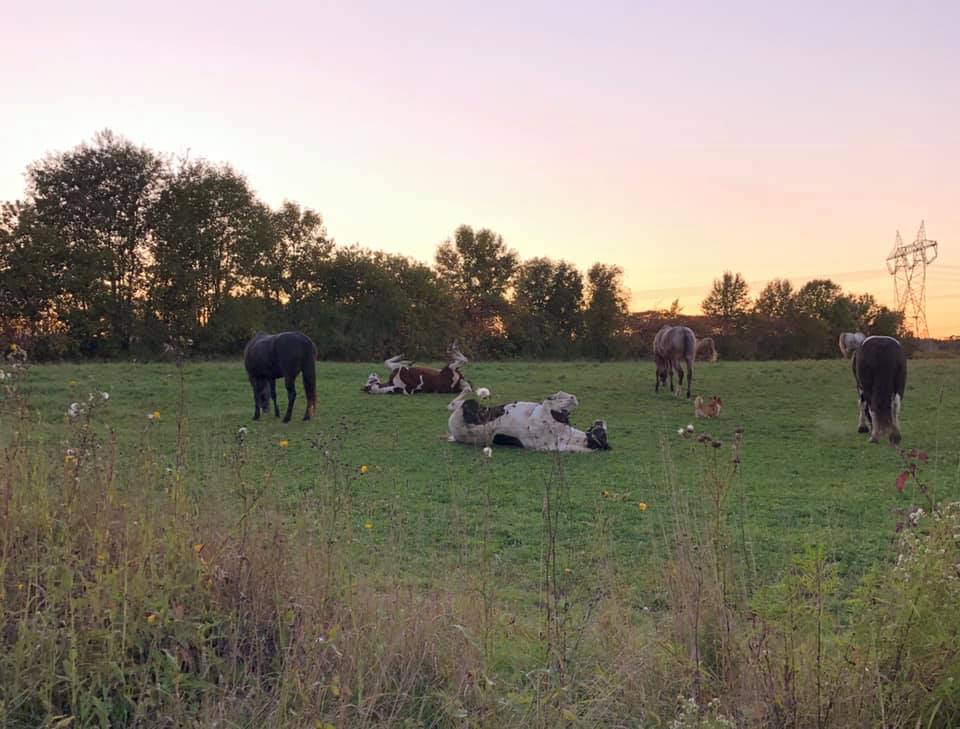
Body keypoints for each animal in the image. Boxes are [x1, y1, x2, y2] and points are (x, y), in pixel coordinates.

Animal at [448, 384, 612, 452]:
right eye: (603, 431)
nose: (601, 421)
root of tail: (456, 434)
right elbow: (562, 400)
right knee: (453, 404)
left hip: (467, 406)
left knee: (452, 404)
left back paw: (466, 389)